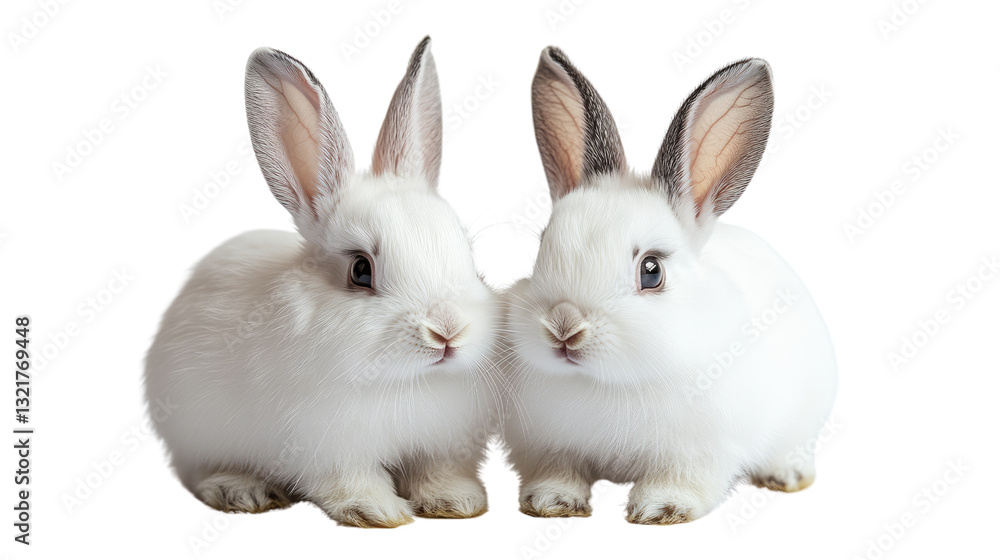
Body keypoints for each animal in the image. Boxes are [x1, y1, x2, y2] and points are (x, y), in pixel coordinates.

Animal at [144, 37, 501, 528]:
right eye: (360, 270)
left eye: (468, 254)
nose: (448, 332)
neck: (406, 380)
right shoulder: (328, 449)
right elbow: (351, 481)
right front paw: (378, 511)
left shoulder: (443, 447)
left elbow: (439, 474)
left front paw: (456, 503)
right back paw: (243, 490)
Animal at [499, 47, 838, 525]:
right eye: (542, 248)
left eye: (651, 271)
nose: (564, 327)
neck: (608, 382)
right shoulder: (547, 446)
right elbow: (558, 472)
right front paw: (552, 502)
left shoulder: (700, 451)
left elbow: (681, 480)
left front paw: (661, 508)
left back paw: (787, 475)